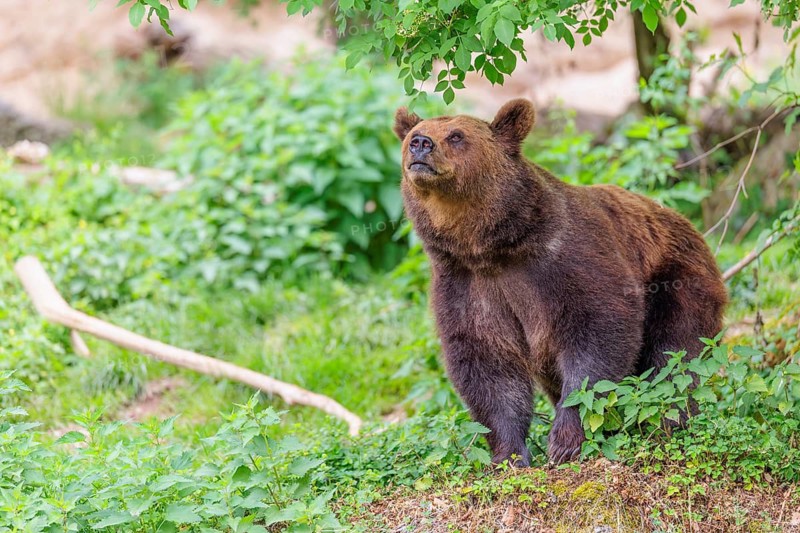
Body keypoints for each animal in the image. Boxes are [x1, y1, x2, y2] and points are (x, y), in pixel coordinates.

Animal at [393, 99, 727, 466]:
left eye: (456, 135)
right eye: (413, 133)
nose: (421, 144)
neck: (490, 246)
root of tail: (690, 227)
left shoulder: (564, 259)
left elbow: (598, 334)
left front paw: (565, 441)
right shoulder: (466, 285)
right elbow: (487, 365)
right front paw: (509, 454)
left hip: (677, 280)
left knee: (675, 357)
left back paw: (668, 420)